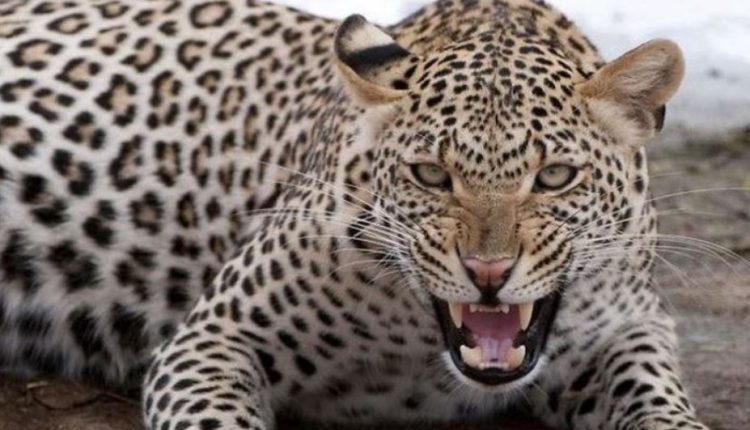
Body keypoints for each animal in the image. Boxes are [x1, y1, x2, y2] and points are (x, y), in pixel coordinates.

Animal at [0, 0, 710, 430]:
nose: (487, 272)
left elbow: (661, 404)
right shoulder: (213, 338)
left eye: (555, 176)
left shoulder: (631, 327)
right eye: (431, 175)